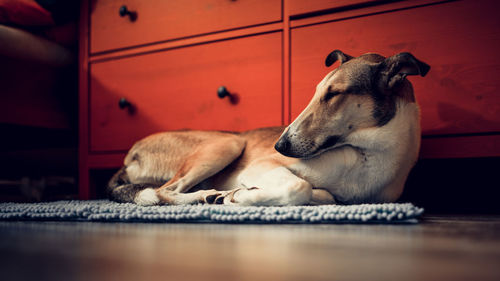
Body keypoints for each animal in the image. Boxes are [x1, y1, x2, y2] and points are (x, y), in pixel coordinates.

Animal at [107, 50, 428, 205]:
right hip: (228, 144)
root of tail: (128, 157)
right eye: (316, 92)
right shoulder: (262, 165)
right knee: (163, 191)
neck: (369, 154)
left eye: (334, 93)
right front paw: (240, 196)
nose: (280, 145)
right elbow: (299, 186)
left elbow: (324, 194)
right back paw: (206, 196)